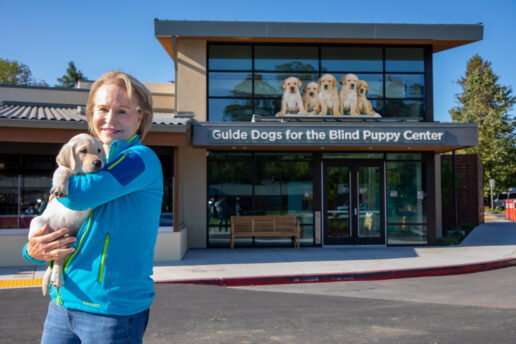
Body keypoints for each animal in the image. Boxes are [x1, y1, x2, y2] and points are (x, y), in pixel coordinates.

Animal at [29, 134, 105, 296]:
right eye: (83, 151)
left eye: (99, 151)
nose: (99, 162)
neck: (82, 172)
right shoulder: (65, 170)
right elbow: (62, 171)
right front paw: (59, 187)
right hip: (38, 222)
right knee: (39, 240)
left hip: (69, 243)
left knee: (58, 260)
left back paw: (57, 278)